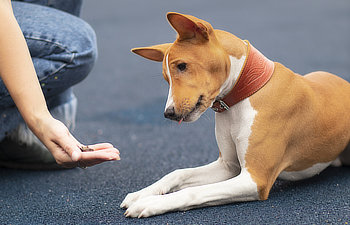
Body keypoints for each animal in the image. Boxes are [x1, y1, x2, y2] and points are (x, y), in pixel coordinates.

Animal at [120, 12, 350, 218]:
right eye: (166, 78)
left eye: (182, 66)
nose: (168, 113)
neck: (242, 98)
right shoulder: (228, 166)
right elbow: (178, 173)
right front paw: (142, 193)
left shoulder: (254, 179)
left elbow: (193, 191)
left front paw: (151, 203)